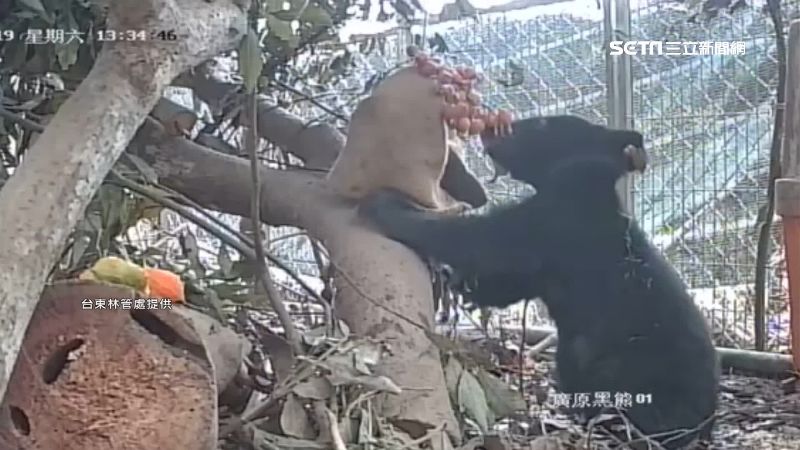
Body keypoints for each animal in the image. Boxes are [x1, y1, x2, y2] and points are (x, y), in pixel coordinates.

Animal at [357, 115, 720, 449]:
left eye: (544, 124)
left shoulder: (548, 224)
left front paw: (384, 202)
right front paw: (459, 284)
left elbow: (476, 237)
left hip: (628, 368)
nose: (488, 129)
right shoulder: (539, 269)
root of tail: (705, 424)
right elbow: (507, 283)